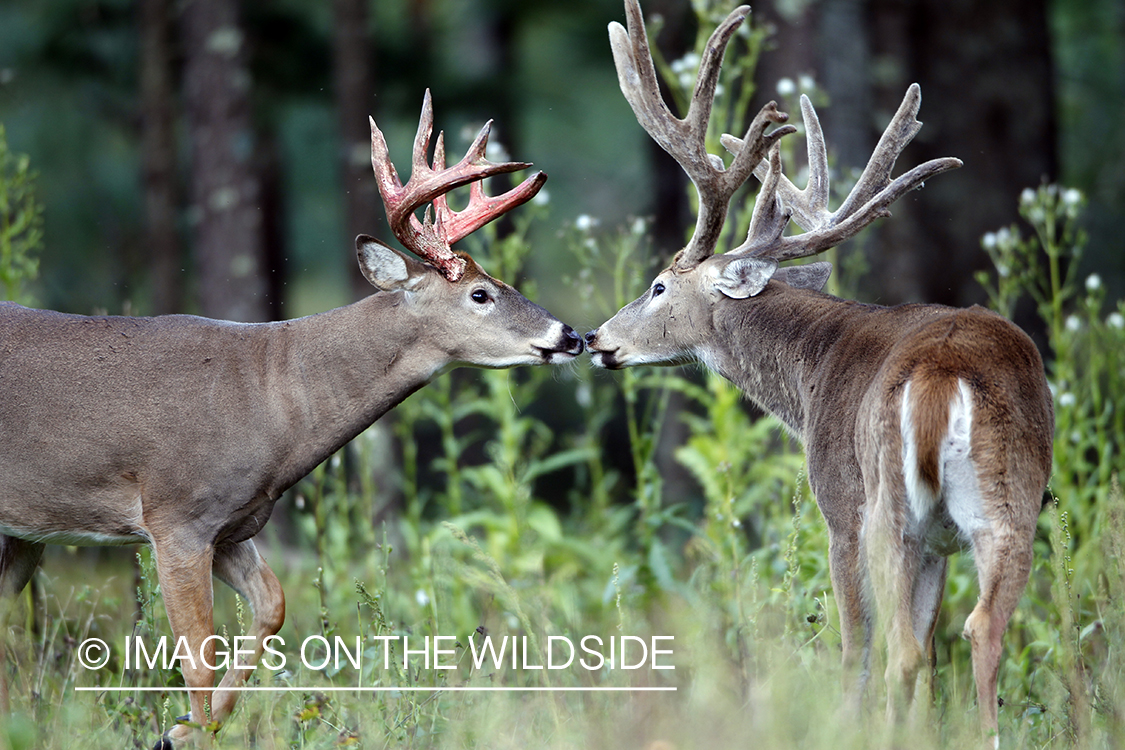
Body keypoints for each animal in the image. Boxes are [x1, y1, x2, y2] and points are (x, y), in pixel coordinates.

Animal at [0, 91, 580, 746]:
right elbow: (199, 655)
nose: (571, 335)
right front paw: (182, 731)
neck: (270, 396)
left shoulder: (233, 524)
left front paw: (189, 728)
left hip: (25, 532)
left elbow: (272, 607)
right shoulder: (175, 515)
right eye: (480, 294)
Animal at [585, 0, 1057, 742]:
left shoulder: (837, 505)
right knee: (977, 631)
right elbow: (930, 656)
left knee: (893, 650)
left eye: (659, 286)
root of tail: (941, 376)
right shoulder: (940, 544)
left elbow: (856, 649)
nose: (600, 339)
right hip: (1008, 501)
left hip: (883, 508)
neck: (811, 379)